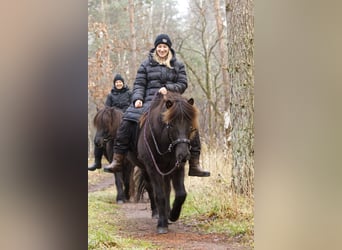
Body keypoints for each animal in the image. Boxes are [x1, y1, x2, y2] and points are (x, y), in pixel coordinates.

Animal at [127, 92, 198, 234]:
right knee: (150, 188)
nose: (184, 155)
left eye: (190, 125)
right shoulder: (153, 168)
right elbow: (159, 194)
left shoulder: (177, 167)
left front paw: (173, 215)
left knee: (167, 189)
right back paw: (156, 213)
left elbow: (180, 193)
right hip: (145, 169)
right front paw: (162, 224)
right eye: (171, 124)